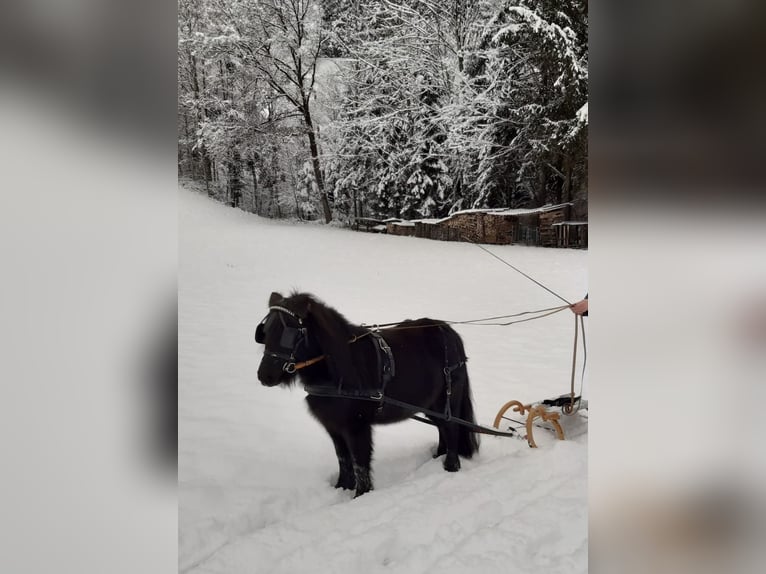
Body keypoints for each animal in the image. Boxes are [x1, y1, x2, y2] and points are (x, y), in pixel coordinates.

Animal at [255, 292, 480, 500]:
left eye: (288, 332)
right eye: (264, 332)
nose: (264, 376)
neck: (338, 369)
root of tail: (449, 332)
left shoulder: (357, 426)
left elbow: (359, 462)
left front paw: (361, 494)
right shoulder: (334, 426)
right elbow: (343, 458)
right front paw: (342, 488)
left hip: (446, 399)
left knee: (451, 428)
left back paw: (451, 466)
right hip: (431, 405)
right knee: (442, 427)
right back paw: (437, 457)